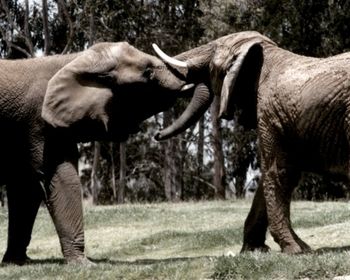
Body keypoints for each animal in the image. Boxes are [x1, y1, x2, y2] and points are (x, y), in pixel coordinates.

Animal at [0, 42, 211, 264]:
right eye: (148, 73)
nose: (158, 134)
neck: (75, 60)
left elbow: (26, 189)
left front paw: (17, 262)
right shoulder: (40, 125)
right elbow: (60, 178)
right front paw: (84, 265)